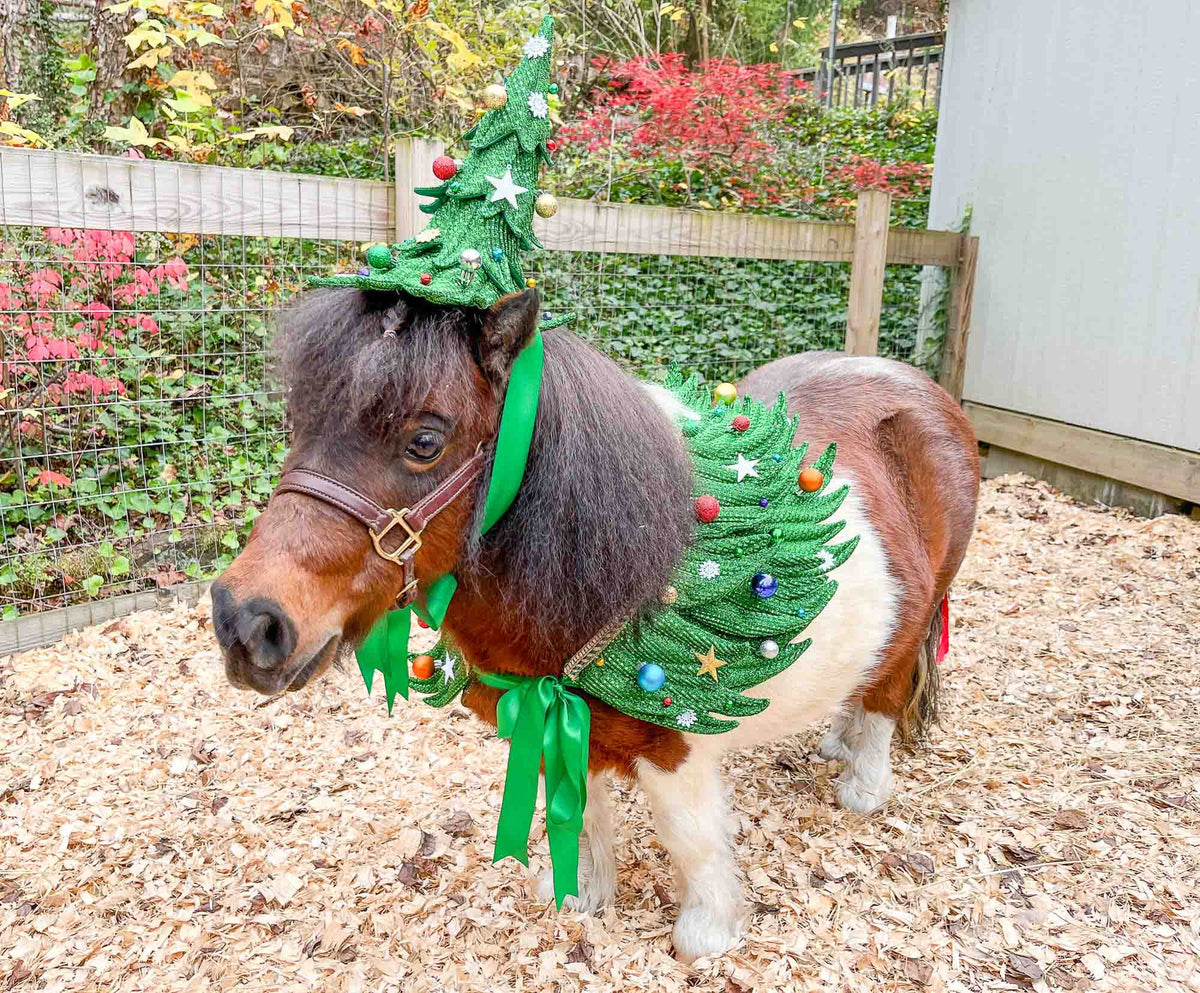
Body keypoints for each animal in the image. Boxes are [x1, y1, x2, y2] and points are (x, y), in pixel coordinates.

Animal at [210, 287, 979, 962]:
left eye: (425, 440)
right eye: (299, 421)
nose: (246, 622)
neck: (623, 570)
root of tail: (916, 383)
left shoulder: (675, 749)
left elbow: (690, 836)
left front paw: (706, 936)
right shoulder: (554, 716)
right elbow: (579, 811)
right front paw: (581, 896)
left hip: (926, 606)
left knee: (887, 694)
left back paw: (863, 786)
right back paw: (835, 740)